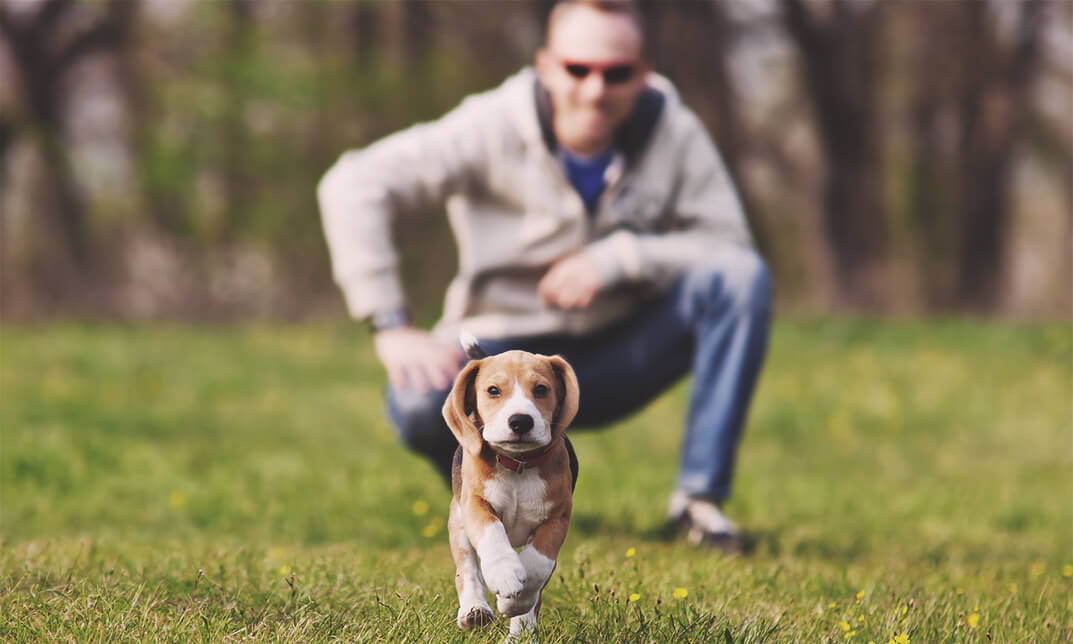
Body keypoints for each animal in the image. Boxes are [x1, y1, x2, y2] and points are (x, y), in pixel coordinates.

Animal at [442, 337, 579, 639]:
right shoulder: (474, 504)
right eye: (493, 390)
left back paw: (521, 634)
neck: (518, 464)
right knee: (467, 570)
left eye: (541, 389)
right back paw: (475, 610)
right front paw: (504, 573)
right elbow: (491, 533)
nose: (520, 421)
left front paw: (515, 602)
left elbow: (538, 564)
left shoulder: (557, 519)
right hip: (458, 522)